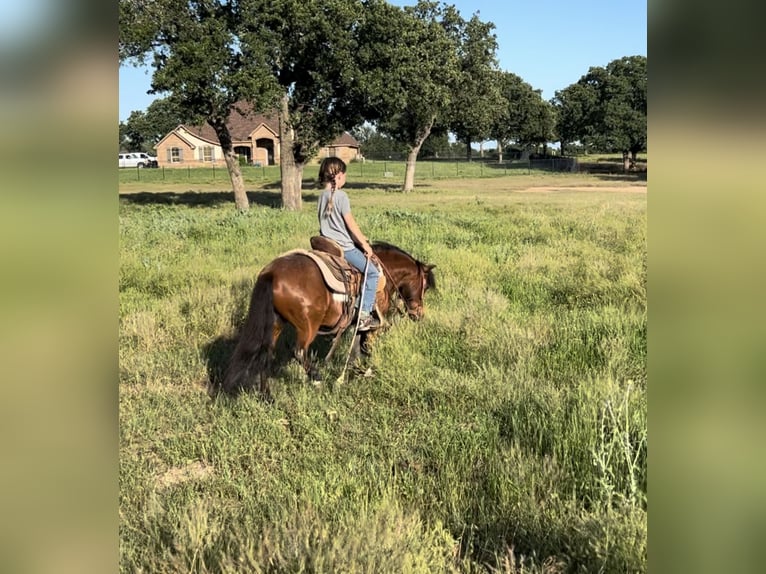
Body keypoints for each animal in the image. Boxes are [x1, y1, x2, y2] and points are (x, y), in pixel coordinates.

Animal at [222, 241, 438, 398]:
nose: (419, 314)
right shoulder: (373, 324)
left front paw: (354, 371)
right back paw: (316, 378)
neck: (383, 275)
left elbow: (355, 349)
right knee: (299, 351)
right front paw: (365, 370)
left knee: (266, 355)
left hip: (276, 323)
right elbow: (365, 346)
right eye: (425, 286)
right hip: (307, 325)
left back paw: (267, 396)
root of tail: (272, 273)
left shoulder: (356, 324)